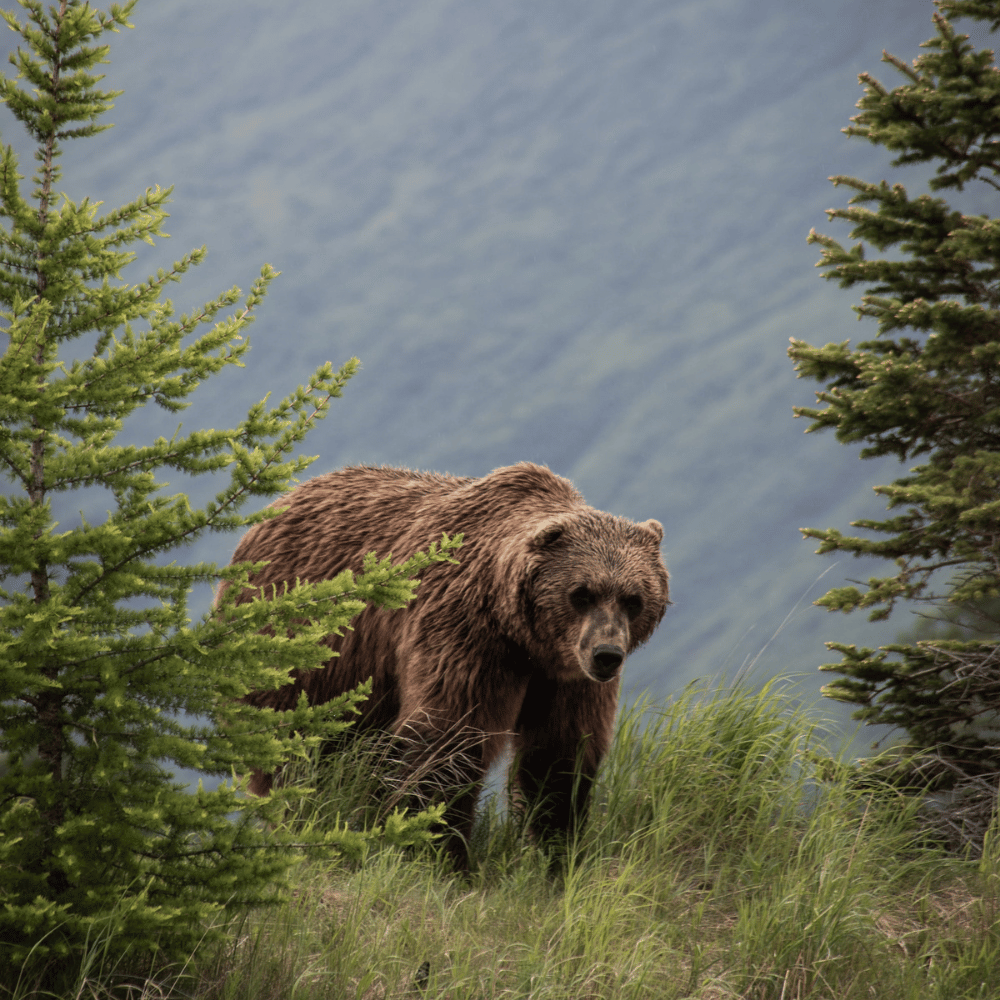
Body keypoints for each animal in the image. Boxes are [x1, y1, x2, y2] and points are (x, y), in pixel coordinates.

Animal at [220, 462, 672, 868]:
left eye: (633, 598)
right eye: (581, 593)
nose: (607, 654)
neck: (522, 636)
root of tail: (272, 509)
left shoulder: (565, 677)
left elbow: (560, 754)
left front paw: (556, 853)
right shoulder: (466, 635)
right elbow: (448, 739)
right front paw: (441, 854)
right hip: (303, 655)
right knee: (299, 753)